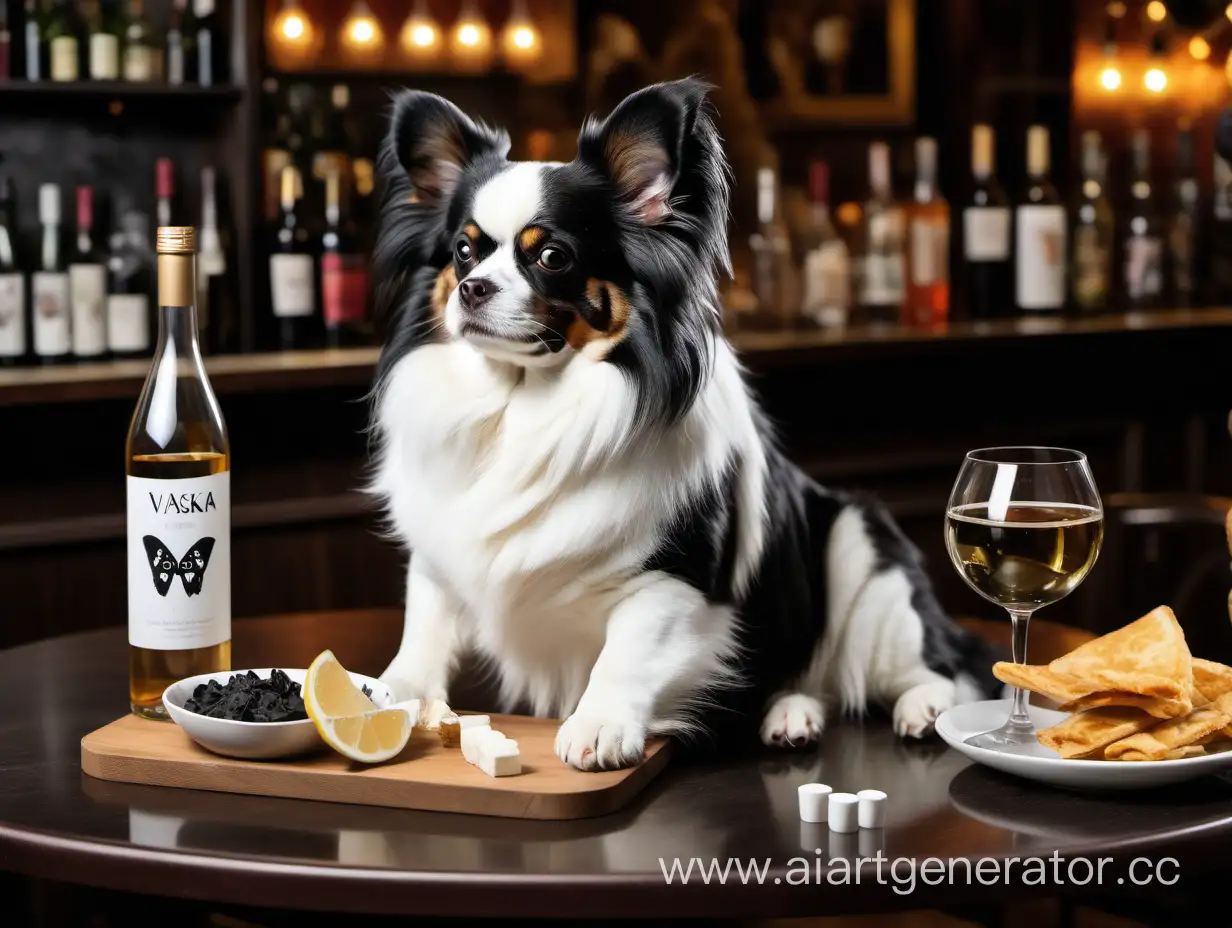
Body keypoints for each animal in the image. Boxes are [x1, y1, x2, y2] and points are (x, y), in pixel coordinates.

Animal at [367, 77, 1000, 769]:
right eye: (463, 252)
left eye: (553, 257)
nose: (473, 288)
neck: (525, 403)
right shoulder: (437, 560)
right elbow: (422, 632)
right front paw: (385, 695)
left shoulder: (674, 581)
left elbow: (626, 650)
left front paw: (599, 725)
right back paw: (792, 714)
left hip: (861, 552)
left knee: (941, 663)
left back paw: (923, 708)